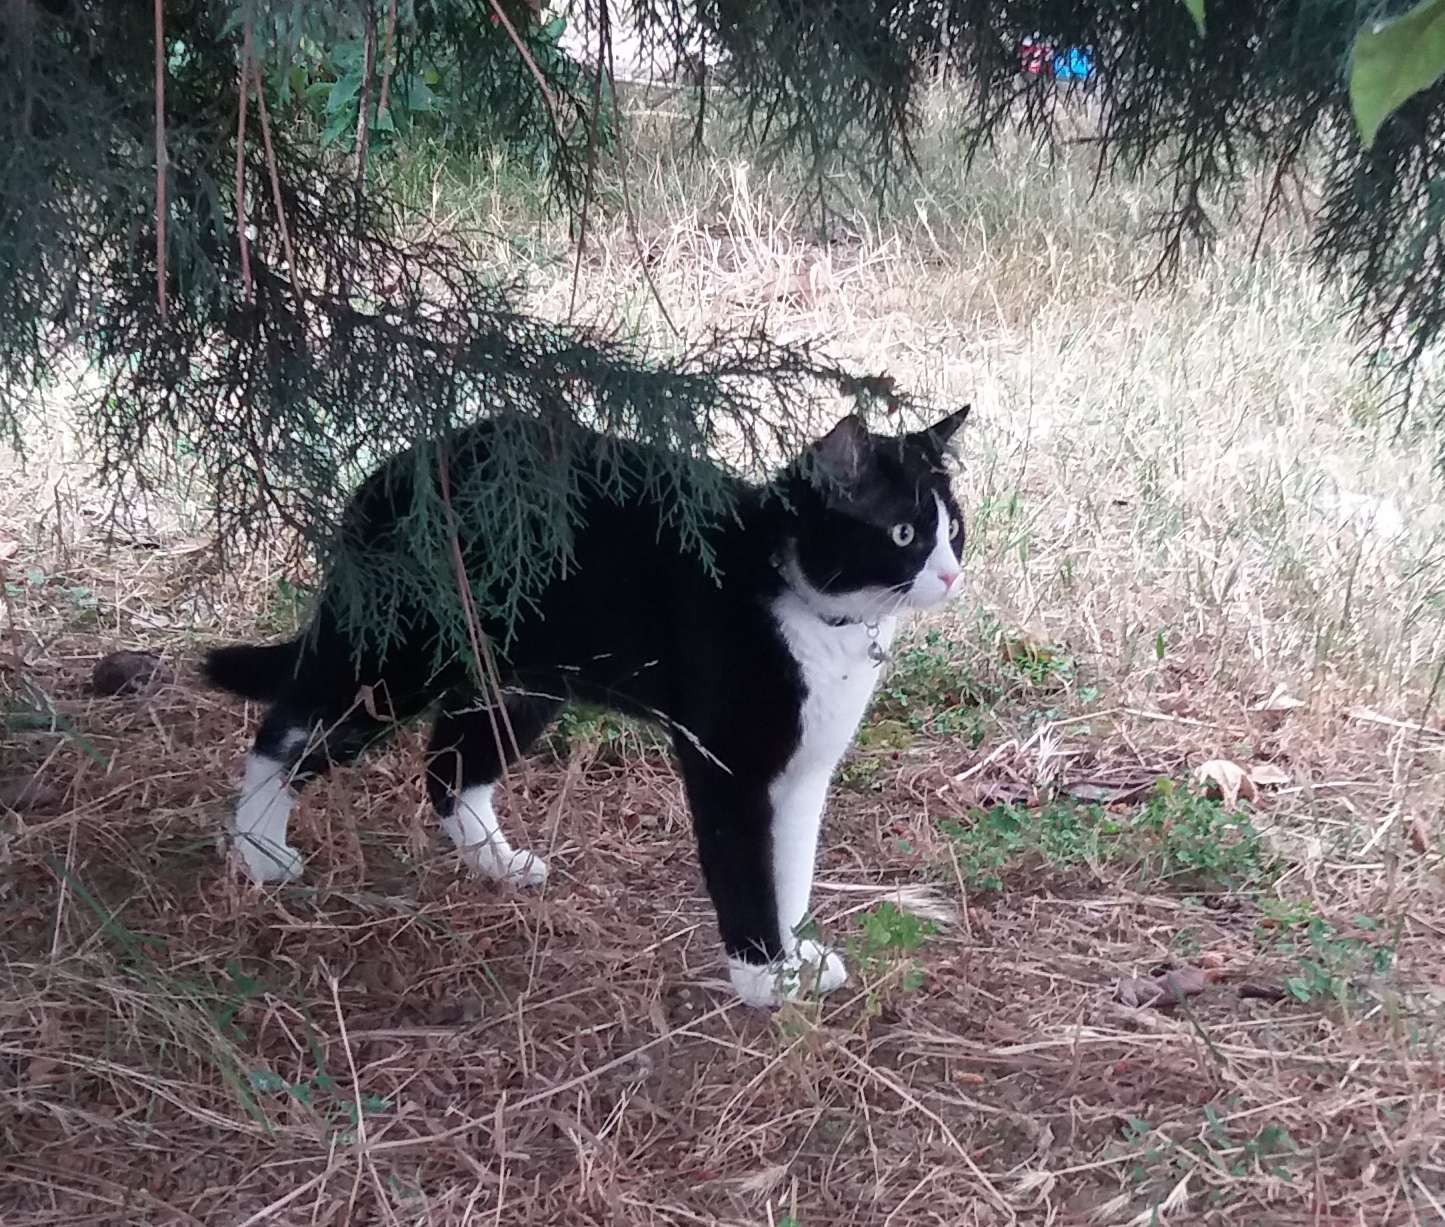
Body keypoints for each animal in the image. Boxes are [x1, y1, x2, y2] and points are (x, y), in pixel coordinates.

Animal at [203, 410, 971, 1005]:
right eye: (904, 534)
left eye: (953, 527)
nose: (951, 573)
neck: (808, 608)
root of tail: (390, 475)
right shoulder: (728, 765)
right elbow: (748, 872)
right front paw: (762, 980)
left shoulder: (806, 771)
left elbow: (792, 874)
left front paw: (797, 958)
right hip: (395, 656)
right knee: (289, 727)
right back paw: (260, 851)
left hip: (521, 681)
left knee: (451, 767)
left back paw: (498, 863)